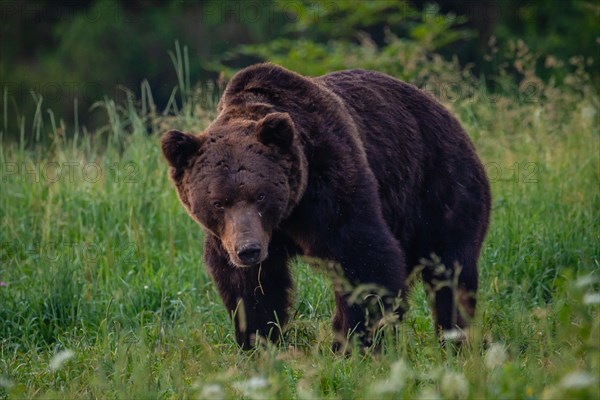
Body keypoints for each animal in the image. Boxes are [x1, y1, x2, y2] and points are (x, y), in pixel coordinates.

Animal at [162, 62, 490, 350]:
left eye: (260, 196)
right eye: (218, 202)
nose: (249, 250)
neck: (289, 213)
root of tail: (446, 112)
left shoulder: (331, 181)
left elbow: (364, 260)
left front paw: (358, 342)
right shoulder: (232, 237)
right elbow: (250, 287)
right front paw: (258, 341)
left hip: (440, 186)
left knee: (450, 268)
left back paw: (454, 337)